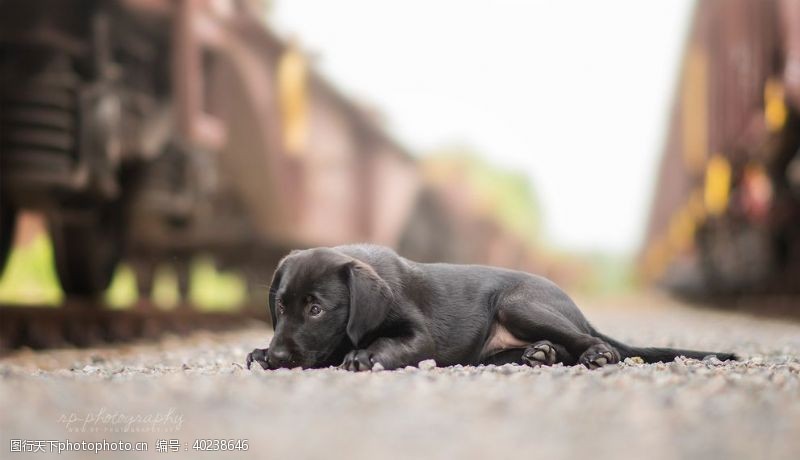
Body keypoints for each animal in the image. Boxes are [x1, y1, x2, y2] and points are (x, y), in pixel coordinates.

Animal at [245, 244, 736, 370]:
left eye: (316, 309)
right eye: (280, 308)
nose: (279, 355)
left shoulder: (418, 335)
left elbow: (388, 343)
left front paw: (363, 355)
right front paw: (258, 352)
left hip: (520, 304)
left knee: (587, 341)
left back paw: (595, 354)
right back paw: (540, 354)